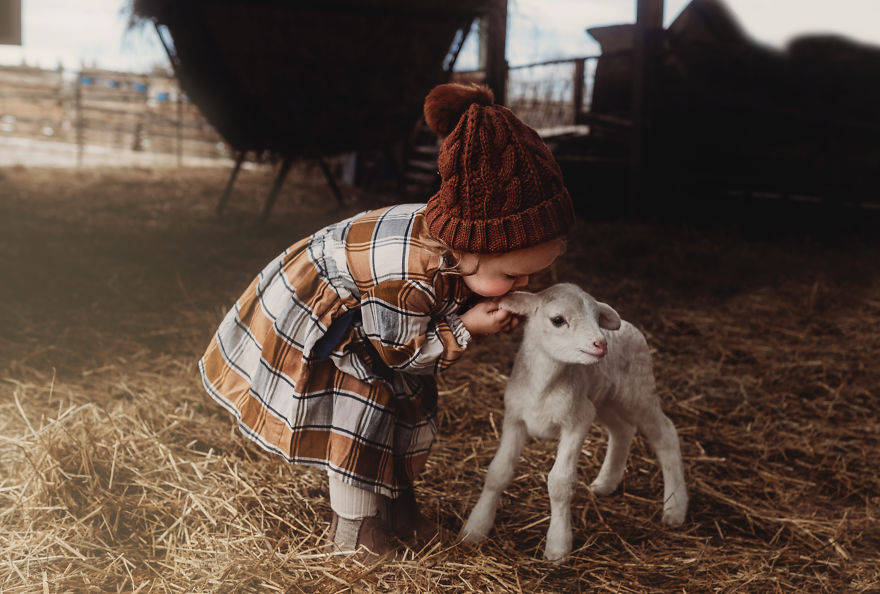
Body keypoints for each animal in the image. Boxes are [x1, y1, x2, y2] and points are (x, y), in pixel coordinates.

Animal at [460, 282, 688, 560]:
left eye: (597, 318)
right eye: (558, 320)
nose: (601, 344)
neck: (544, 386)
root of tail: (628, 326)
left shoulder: (577, 420)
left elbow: (560, 482)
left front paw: (557, 547)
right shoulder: (515, 418)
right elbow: (498, 471)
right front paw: (475, 529)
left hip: (638, 389)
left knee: (665, 434)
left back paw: (675, 508)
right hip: (604, 400)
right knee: (622, 430)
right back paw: (606, 483)